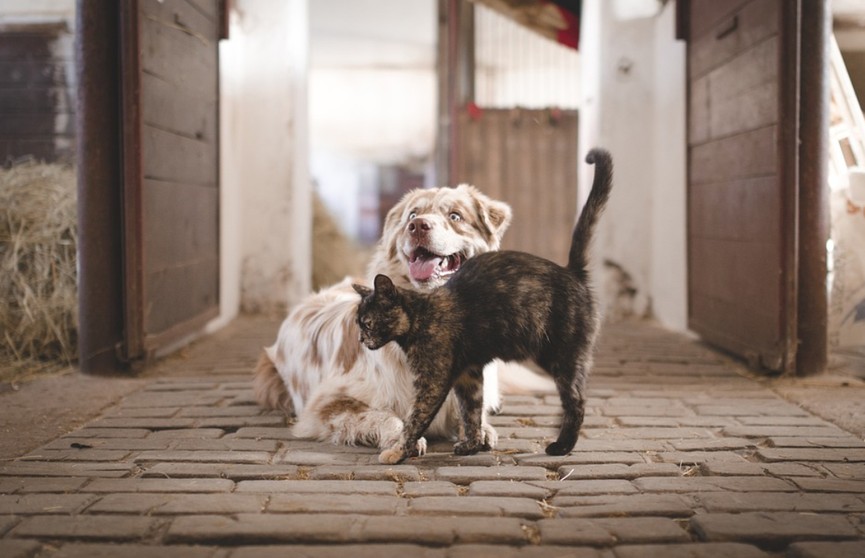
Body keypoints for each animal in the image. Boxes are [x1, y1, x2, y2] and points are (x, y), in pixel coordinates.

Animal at [255, 186, 512, 452]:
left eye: (455, 216)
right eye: (412, 215)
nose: (417, 226)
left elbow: (471, 411)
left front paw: (480, 431)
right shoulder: (326, 404)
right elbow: (386, 417)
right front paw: (402, 439)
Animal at [352, 148, 616, 464]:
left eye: (368, 323)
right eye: (358, 324)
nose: (361, 339)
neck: (421, 315)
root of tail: (571, 272)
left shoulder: (433, 381)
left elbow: (415, 419)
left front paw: (398, 451)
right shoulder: (469, 374)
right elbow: (471, 411)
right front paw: (472, 444)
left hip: (561, 356)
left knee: (576, 401)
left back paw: (561, 445)